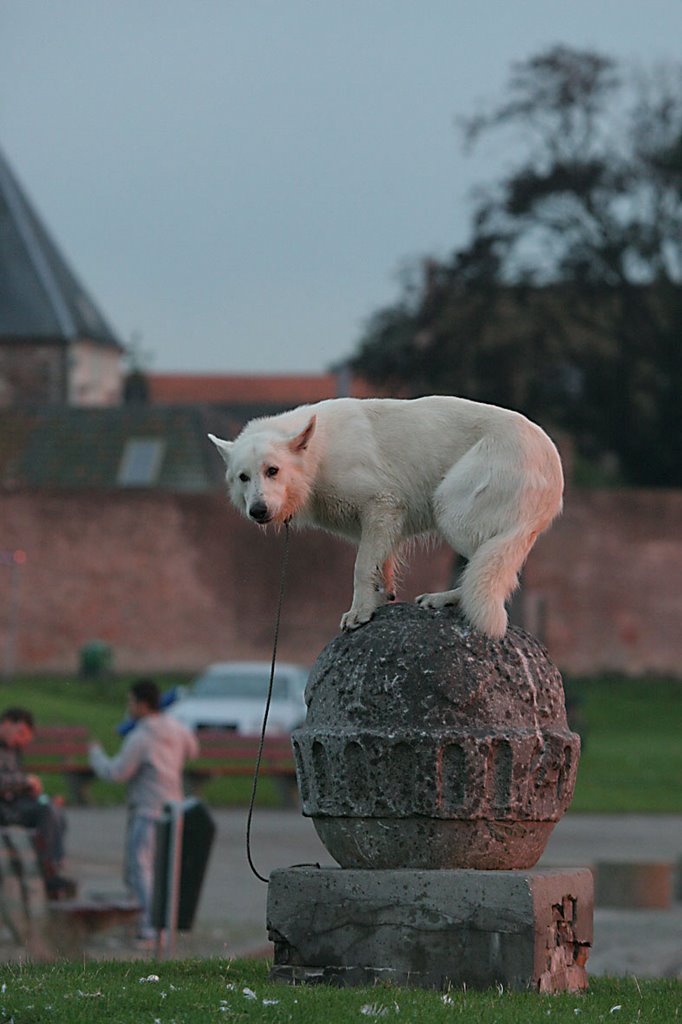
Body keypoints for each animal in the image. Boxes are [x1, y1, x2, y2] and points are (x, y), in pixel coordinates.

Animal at [208, 395, 561, 634]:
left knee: (483, 573)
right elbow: (382, 566)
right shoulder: (385, 523)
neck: (318, 456)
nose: (258, 511)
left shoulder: (381, 505)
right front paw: (381, 599)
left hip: (450, 508)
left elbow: (362, 567)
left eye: (273, 471)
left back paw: (444, 598)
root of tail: (553, 468)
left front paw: (360, 612)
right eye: (243, 477)